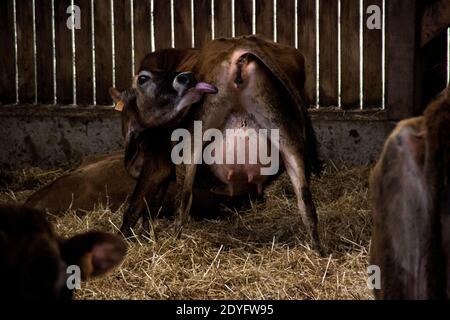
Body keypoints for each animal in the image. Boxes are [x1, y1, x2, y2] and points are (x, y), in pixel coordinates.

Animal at [121, 35, 322, 254]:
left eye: (143, 79)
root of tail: (240, 47)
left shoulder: (157, 162)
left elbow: (136, 206)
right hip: (286, 132)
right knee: (306, 201)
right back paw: (318, 251)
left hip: (191, 142)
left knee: (184, 201)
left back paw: (175, 245)